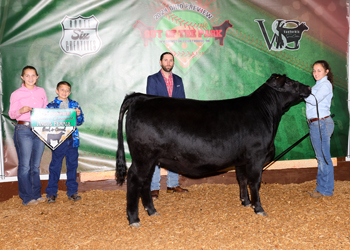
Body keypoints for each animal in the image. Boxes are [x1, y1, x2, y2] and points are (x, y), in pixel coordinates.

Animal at [116, 73, 310, 227]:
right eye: (290, 82)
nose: (308, 86)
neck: (266, 113)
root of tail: (141, 97)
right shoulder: (256, 156)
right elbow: (254, 182)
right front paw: (259, 208)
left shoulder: (242, 159)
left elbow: (242, 180)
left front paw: (245, 202)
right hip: (143, 156)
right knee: (134, 180)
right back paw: (134, 219)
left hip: (150, 159)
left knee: (146, 182)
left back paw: (151, 211)